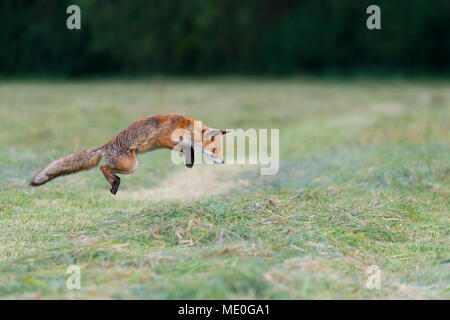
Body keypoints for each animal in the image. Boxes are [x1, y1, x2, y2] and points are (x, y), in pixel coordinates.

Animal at [30, 114, 229, 194]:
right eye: (215, 150)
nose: (223, 162)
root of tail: (105, 146)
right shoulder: (166, 139)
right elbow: (185, 147)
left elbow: (189, 149)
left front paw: (190, 160)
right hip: (131, 165)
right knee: (103, 167)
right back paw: (114, 183)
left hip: (129, 165)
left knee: (104, 167)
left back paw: (114, 183)